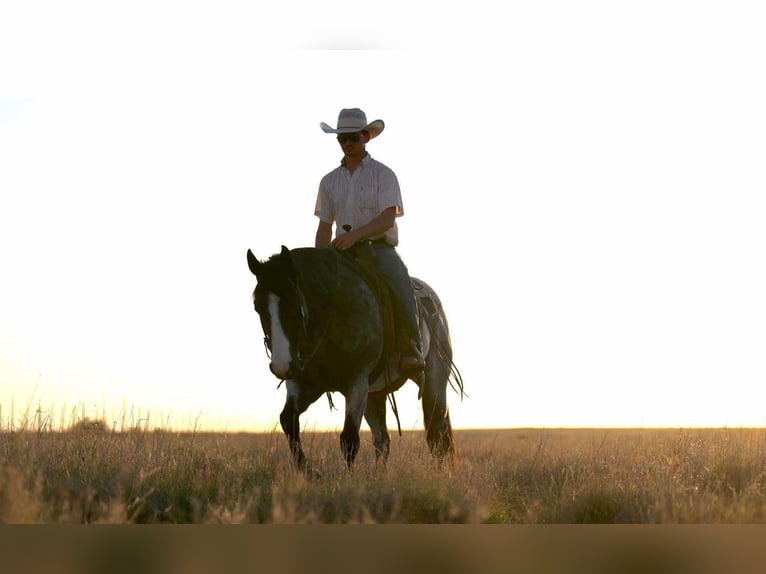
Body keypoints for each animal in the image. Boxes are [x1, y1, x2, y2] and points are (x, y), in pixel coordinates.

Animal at [246, 244, 464, 473]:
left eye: (294, 302)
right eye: (257, 307)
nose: (281, 365)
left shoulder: (356, 382)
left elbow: (349, 439)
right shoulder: (303, 384)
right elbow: (289, 421)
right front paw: (311, 472)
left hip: (434, 382)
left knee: (437, 433)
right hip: (375, 394)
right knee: (382, 440)